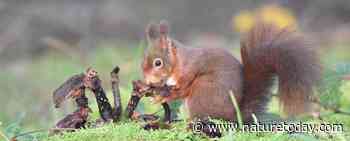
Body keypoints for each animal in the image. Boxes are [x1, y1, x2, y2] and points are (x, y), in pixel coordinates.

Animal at [141, 20, 322, 121]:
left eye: (158, 63)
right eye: (143, 60)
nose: (147, 80)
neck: (178, 61)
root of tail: (235, 115)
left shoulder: (189, 72)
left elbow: (181, 90)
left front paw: (161, 96)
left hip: (203, 90)